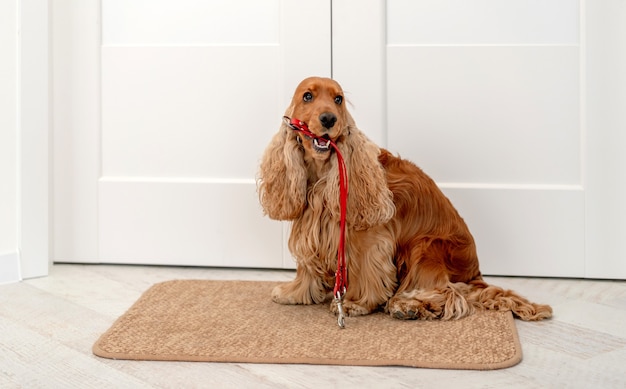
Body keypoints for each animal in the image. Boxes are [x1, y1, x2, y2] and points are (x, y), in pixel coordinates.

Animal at [256, 76, 548, 322]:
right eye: (307, 96)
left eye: (338, 99)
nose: (329, 119)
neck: (322, 173)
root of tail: (475, 273)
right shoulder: (311, 223)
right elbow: (306, 266)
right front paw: (294, 292)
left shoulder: (371, 237)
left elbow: (368, 269)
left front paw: (356, 303)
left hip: (426, 246)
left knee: (450, 292)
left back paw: (409, 305)